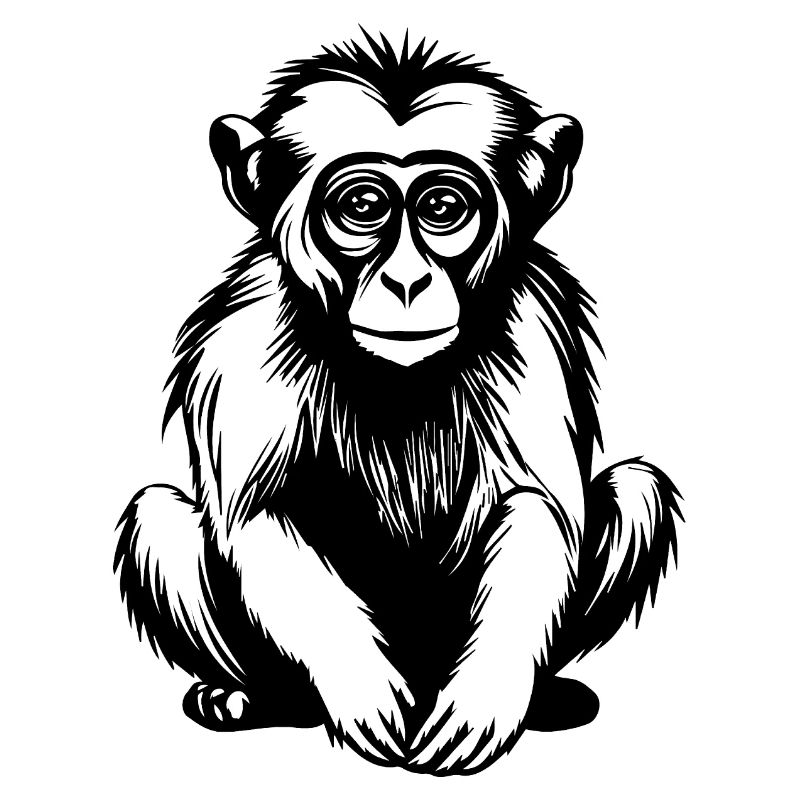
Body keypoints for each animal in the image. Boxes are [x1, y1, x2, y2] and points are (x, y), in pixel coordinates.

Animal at [114, 34, 682, 776]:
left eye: (443, 209)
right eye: (362, 206)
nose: (407, 280)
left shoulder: (532, 318)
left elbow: (540, 507)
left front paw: (486, 695)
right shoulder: (247, 331)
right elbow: (259, 512)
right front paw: (361, 685)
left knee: (637, 489)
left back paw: (549, 695)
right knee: (159, 520)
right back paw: (249, 696)